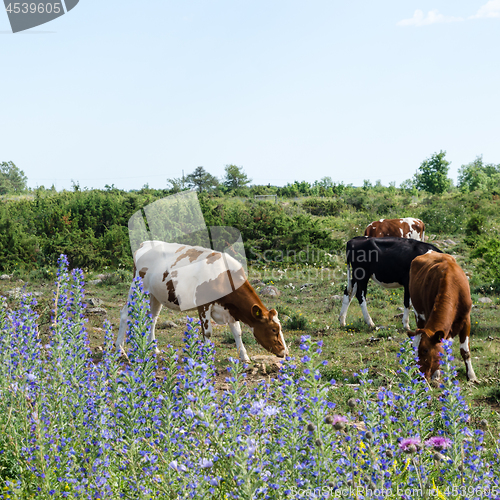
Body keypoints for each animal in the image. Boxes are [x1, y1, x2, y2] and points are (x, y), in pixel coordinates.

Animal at [116, 240, 290, 362]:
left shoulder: (231, 309)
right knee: (124, 314)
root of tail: (145, 244)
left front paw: (244, 356)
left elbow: (237, 332)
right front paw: (207, 355)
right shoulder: (204, 305)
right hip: (137, 288)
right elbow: (207, 332)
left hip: (156, 295)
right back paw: (120, 349)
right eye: (274, 329)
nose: (285, 352)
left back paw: (154, 349)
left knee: (152, 318)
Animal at [406, 254, 476, 382]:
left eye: (425, 350)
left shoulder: (466, 320)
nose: (419, 376)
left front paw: (471, 376)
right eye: (413, 349)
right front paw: (437, 374)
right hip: (418, 315)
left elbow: (465, 351)